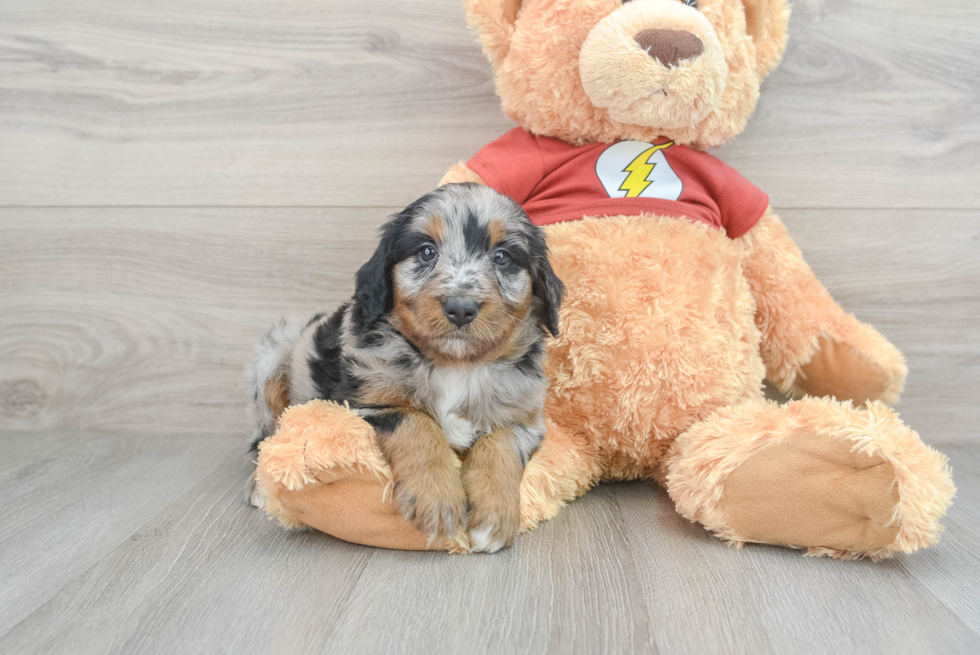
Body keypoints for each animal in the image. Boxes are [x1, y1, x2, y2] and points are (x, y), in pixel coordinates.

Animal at [249, 183, 564, 552]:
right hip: (274, 354)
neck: (456, 365)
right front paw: (437, 499)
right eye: (426, 252)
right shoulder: (368, 403)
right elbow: (416, 423)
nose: (460, 308)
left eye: (502, 256)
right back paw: (258, 488)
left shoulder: (524, 418)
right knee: (264, 438)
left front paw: (495, 517)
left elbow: (500, 445)